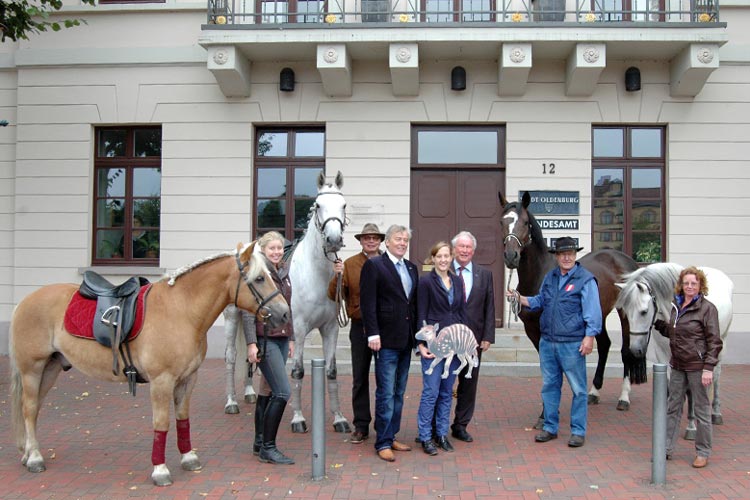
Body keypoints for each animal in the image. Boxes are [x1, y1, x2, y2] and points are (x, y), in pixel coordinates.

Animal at [10, 242, 290, 484]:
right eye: (259, 278)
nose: (284, 312)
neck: (182, 310)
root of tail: (23, 302)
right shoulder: (161, 382)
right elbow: (161, 423)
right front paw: (160, 470)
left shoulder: (188, 379)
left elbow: (182, 418)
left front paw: (189, 458)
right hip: (32, 369)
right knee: (29, 408)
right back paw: (34, 458)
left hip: (50, 368)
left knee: (33, 409)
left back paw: (28, 453)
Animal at [223, 171, 352, 434]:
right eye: (318, 206)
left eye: (343, 205)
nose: (333, 240)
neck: (316, 275)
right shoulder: (299, 329)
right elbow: (298, 372)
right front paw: (298, 419)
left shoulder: (330, 328)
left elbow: (332, 372)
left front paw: (339, 418)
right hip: (232, 318)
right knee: (231, 356)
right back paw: (231, 402)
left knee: (251, 356)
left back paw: (250, 393)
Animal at [616, 262, 736, 438]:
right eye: (626, 312)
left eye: (644, 311)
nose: (635, 350)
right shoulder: (664, 357)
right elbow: (669, 389)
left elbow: (692, 389)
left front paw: (691, 427)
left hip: (722, 344)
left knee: (716, 376)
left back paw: (715, 413)